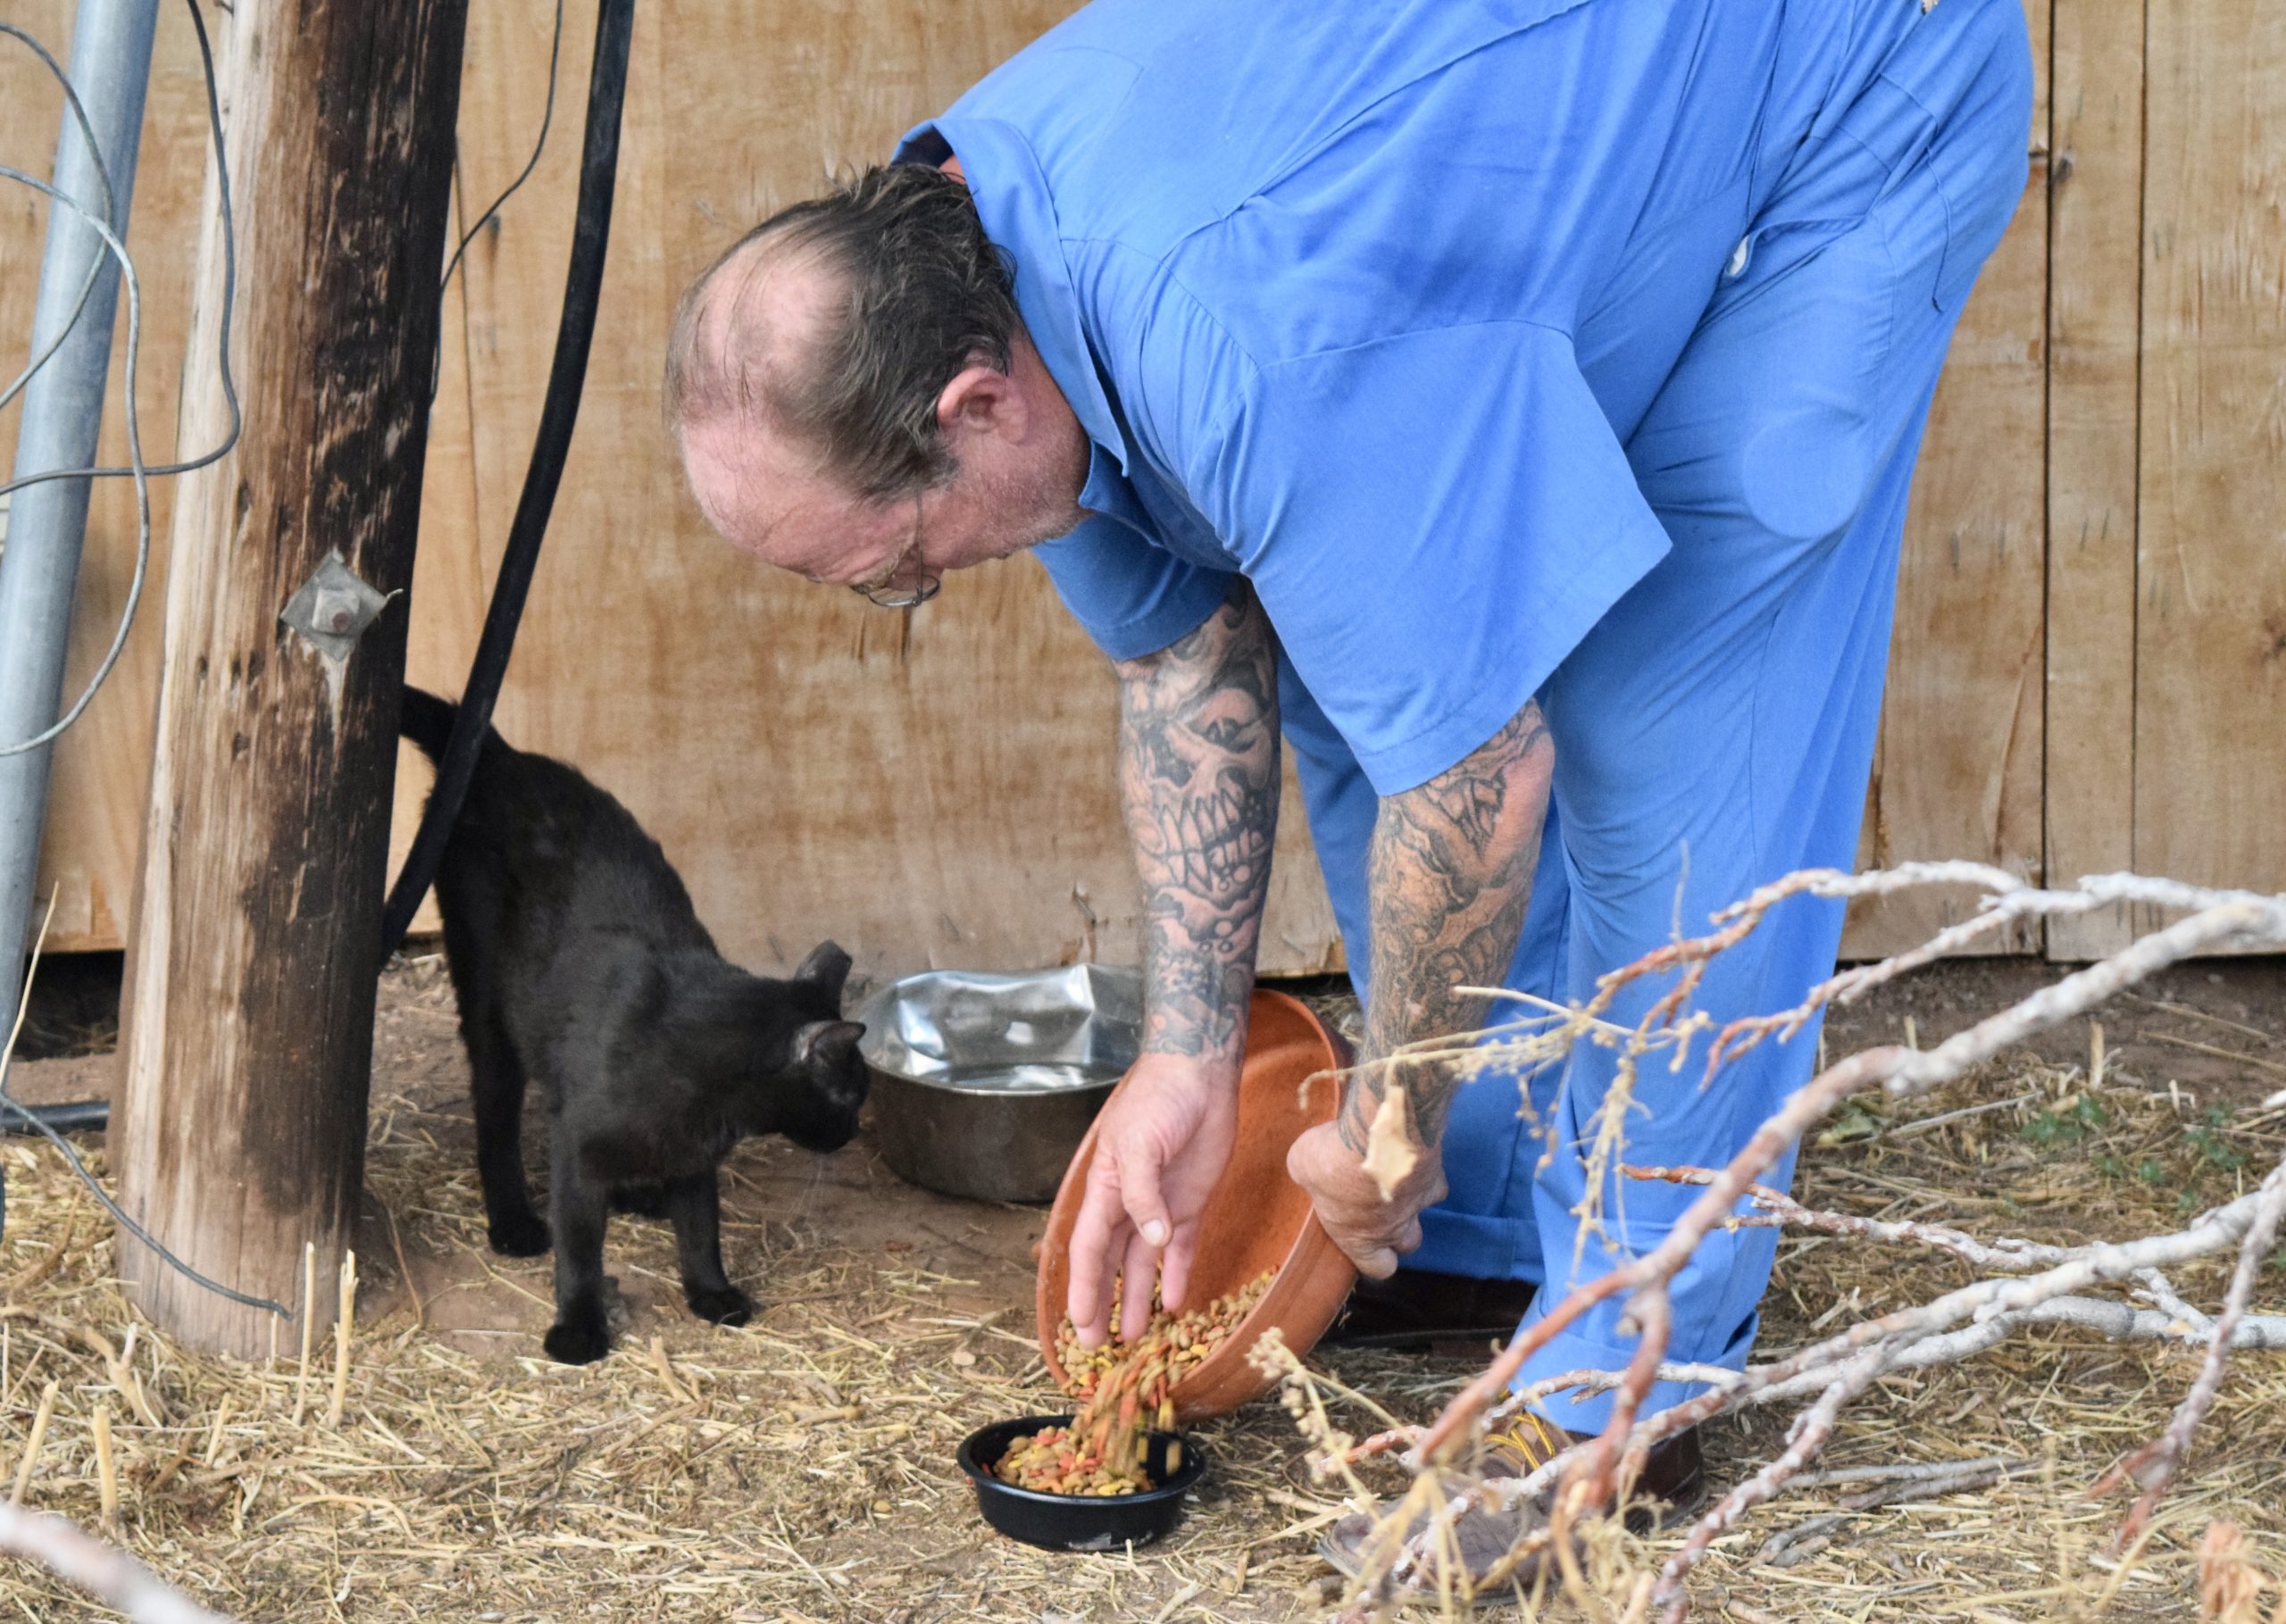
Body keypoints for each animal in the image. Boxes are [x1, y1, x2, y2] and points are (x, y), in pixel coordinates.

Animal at [393, 680, 864, 1361]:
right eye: (851, 1098)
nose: (852, 1133)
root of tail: (500, 756)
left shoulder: (695, 1158)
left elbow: (701, 1229)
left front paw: (712, 1293)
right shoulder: (578, 1149)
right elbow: (580, 1249)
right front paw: (579, 1328)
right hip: (488, 1008)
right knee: (495, 1117)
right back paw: (514, 1222)